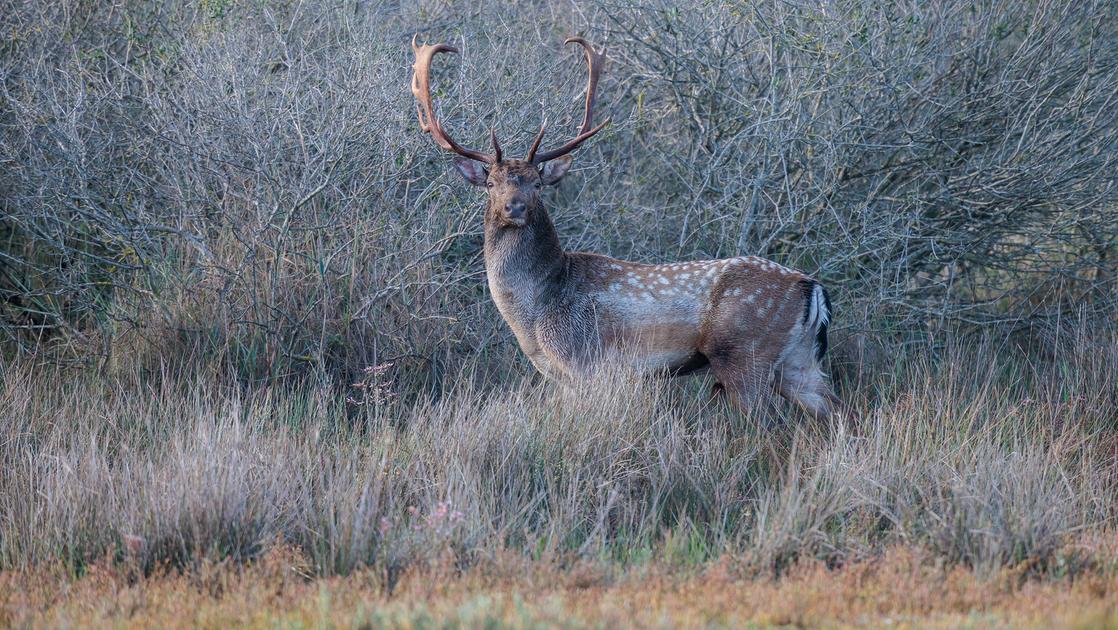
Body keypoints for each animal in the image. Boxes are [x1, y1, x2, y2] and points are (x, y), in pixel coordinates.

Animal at [415, 33, 840, 417]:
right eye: (491, 184)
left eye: (537, 183)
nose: (515, 206)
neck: (536, 313)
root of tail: (812, 287)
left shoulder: (588, 362)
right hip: (797, 360)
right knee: (833, 408)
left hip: (744, 350)